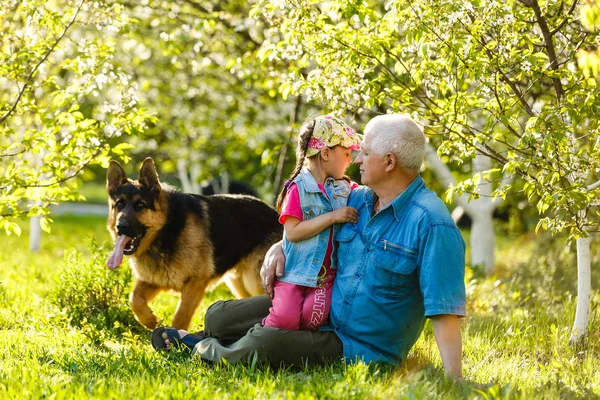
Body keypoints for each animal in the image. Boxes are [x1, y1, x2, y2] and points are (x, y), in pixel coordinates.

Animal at [106, 158, 284, 330]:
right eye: (119, 204)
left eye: (140, 205)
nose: (120, 226)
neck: (167, 230)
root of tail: (276, 214)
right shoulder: (153, 281)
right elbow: (134, 298)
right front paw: (149, 320)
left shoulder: (195, 285)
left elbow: (180, 318)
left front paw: (174, 339)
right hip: (239, 284)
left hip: (254, 281)